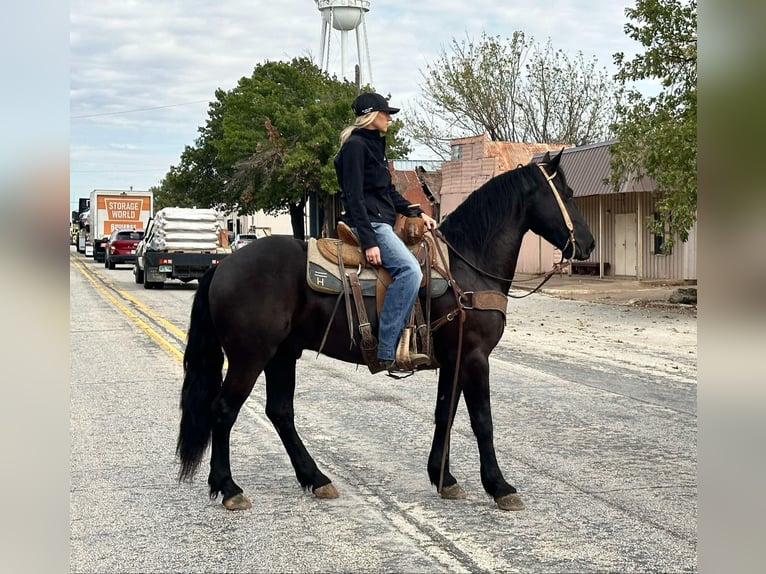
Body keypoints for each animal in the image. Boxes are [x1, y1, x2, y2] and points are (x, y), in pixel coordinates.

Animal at [176, 149, 595, 511]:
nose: (588, 244)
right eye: (568, 194)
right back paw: (229, 487)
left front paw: (443, 478)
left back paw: (315, 478)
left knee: (280, 412)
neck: (466, 267)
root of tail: (223, 267)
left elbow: (445, 414)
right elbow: (482, 421)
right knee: (223, 410)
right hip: (250, 356)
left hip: (282, 354)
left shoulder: (454, 359)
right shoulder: (475, 356)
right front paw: (499, 486)